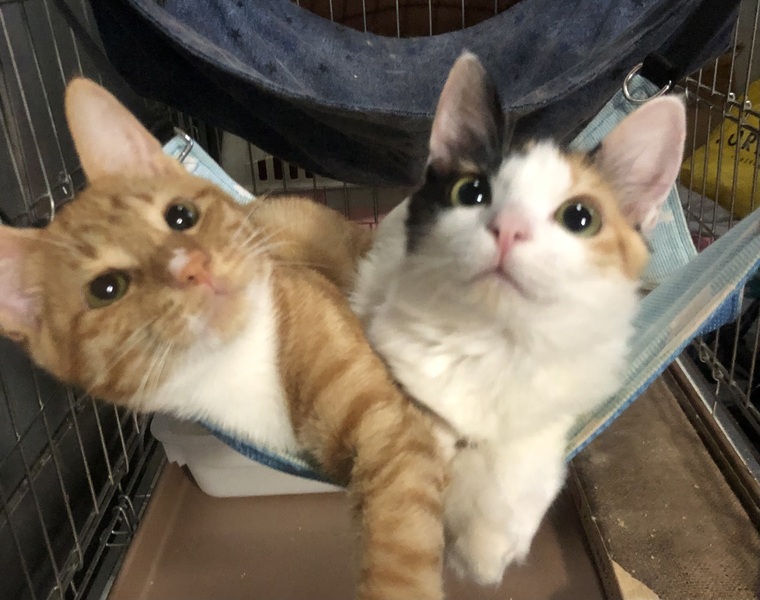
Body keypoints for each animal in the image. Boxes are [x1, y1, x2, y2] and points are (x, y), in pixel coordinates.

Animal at [0, 78, 447, 600]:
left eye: (180, 215)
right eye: (106, 288)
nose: (192, 267)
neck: (235, 367)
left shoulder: (388, 426)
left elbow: (400, 543)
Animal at [351, 52, 686, 585]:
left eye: (580, 218)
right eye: (471, 192)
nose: (508, 228)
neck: (497, 338)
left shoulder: (569, 390)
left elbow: (523, 446)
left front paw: (485, 542)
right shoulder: (390, 336)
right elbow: (428, 423)